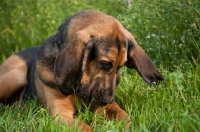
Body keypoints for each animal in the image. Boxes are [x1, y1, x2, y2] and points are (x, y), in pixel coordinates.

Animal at [0, 10, 164, 131]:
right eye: (105, 63)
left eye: (120, 66)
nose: (106, 100)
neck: (78, 88)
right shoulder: (61, 115)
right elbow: (83, 126)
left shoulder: (105, 107)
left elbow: (122, 114)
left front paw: (129, 126)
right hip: (15, 76)